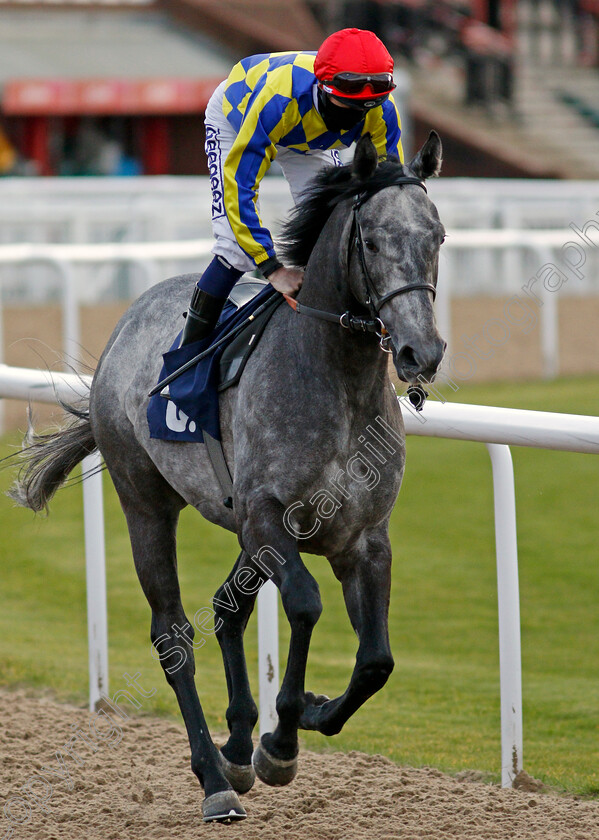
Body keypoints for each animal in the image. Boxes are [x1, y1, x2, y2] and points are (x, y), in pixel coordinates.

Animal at [8, 135, 446, 824]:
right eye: (372, 242)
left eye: (438, 237)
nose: (419, 353)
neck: (337, 380)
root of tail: (125, 326)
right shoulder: (268, 518)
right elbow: (304, 604)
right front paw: (282, 739)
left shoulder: (363, 538)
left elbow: (376, 659)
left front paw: (301, 718)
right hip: (145, 502)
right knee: (174, 632)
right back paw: (215, 776)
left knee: (224, 609)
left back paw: (237, 744)